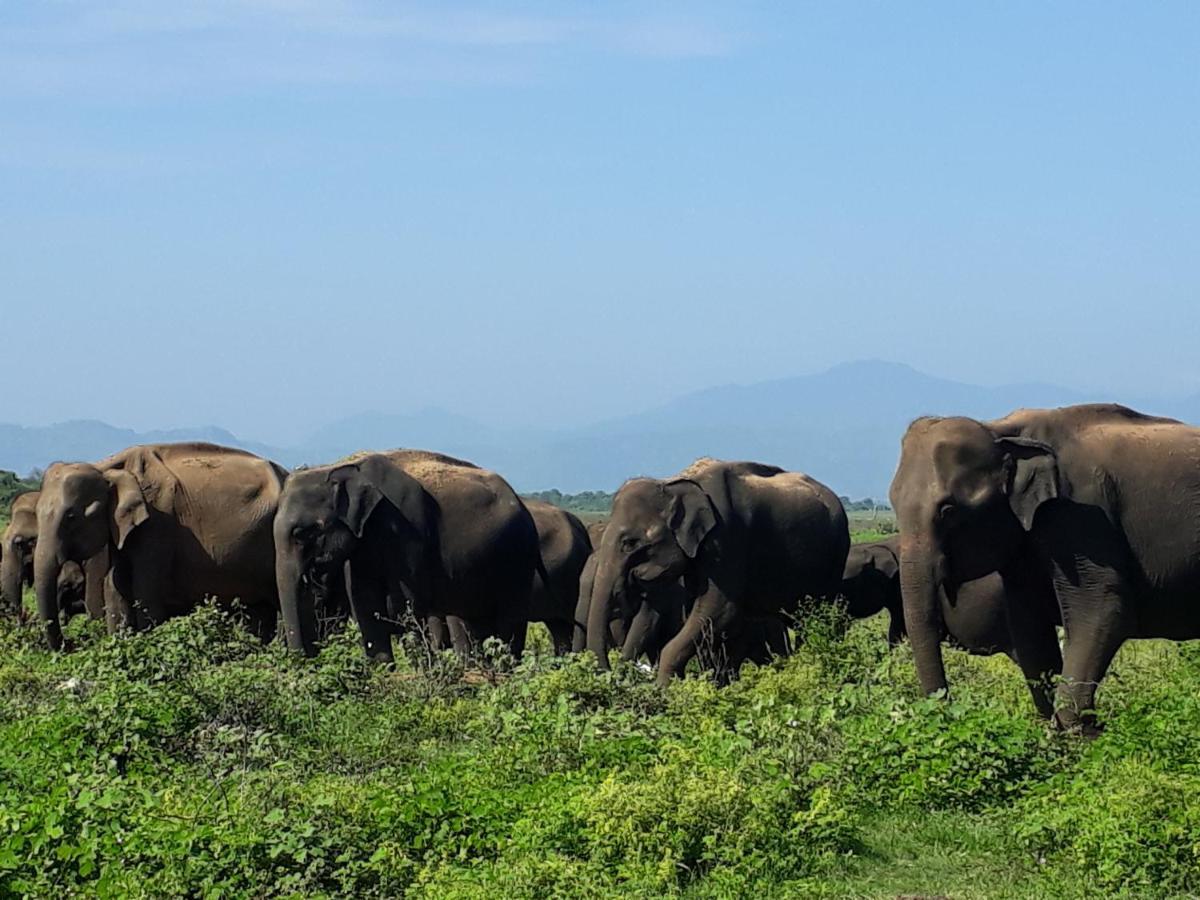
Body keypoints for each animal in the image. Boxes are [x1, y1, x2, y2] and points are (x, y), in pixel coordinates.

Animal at [35, 441, 288, 648]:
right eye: (36, 513)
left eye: (71, 517)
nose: (70, 644)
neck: (107, 467)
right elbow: (115, 587)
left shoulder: (158, 523)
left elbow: (146, 592)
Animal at [276, 448, 540, 662]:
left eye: (303, 533)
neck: (341, 465)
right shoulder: (363, 544)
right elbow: (365, 607)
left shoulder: (407, 530)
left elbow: (406, 607)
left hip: (518, 560)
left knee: (509, 623)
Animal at [585, 460, 849, 686]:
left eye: (629, 543)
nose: (611, 675)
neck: (675, 483)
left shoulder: (727, 537)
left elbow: (718, 610)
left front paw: (664, 690)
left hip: (835, 555)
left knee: (818, 616)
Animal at [888, 405, 1195, 729]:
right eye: (892, 502)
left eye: (948, 510)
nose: (948, 708)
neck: (1002, 431)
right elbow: (1029, 631)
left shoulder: (1081, 514)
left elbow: (1103, 610)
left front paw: (1084, 732)